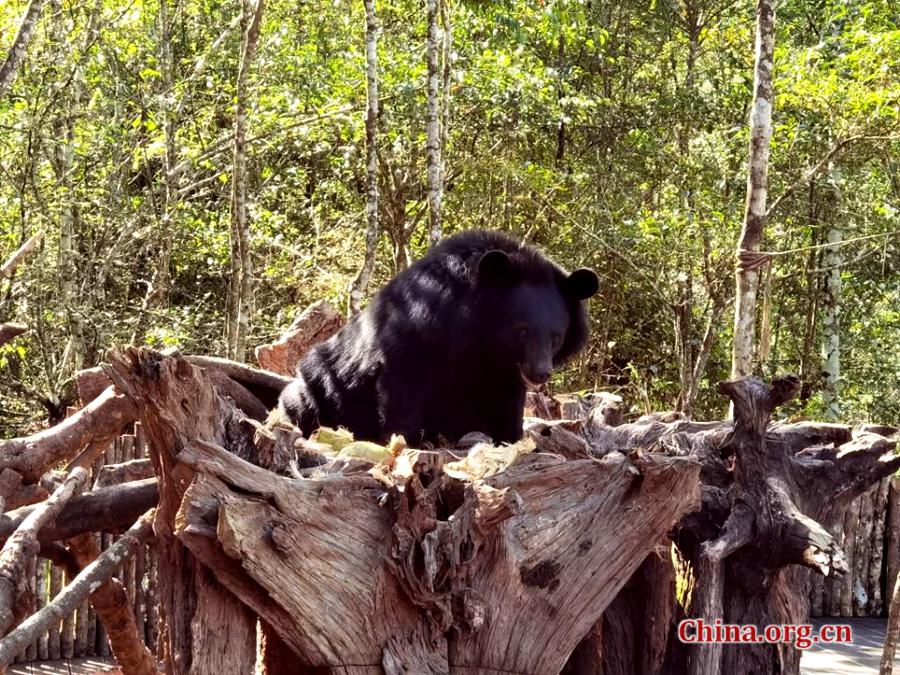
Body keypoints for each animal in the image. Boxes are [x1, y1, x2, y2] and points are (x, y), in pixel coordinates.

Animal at [279, 229, 599, 445]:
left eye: (557, 335)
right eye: (521, 329)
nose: (541, 373)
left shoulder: (503, 370)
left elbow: (507, 400)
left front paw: (511, 439)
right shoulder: (420, 326)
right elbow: (403, 383)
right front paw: (405, 441)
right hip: (322, 382)